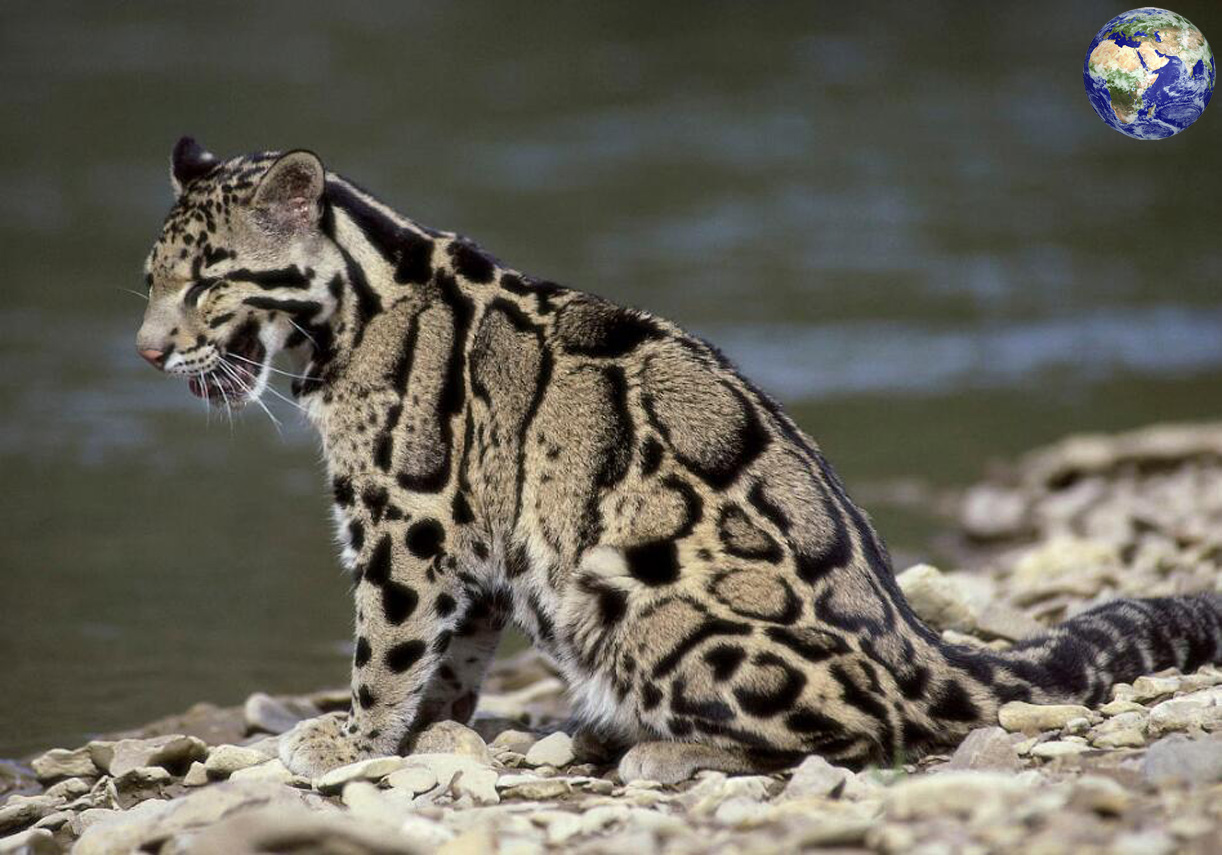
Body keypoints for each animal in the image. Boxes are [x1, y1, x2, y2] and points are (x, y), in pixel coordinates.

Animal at [138, 138, 1222, 781]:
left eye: (207, 283)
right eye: (149, 279)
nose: (146, 351)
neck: (361, 298)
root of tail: (921, 648)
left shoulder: (409, 519)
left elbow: (387, 646)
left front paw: (352, 740)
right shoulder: (473, 541)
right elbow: (452, 655)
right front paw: (434, 731)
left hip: (643, 611)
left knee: (865, 733)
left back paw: (653, 747)